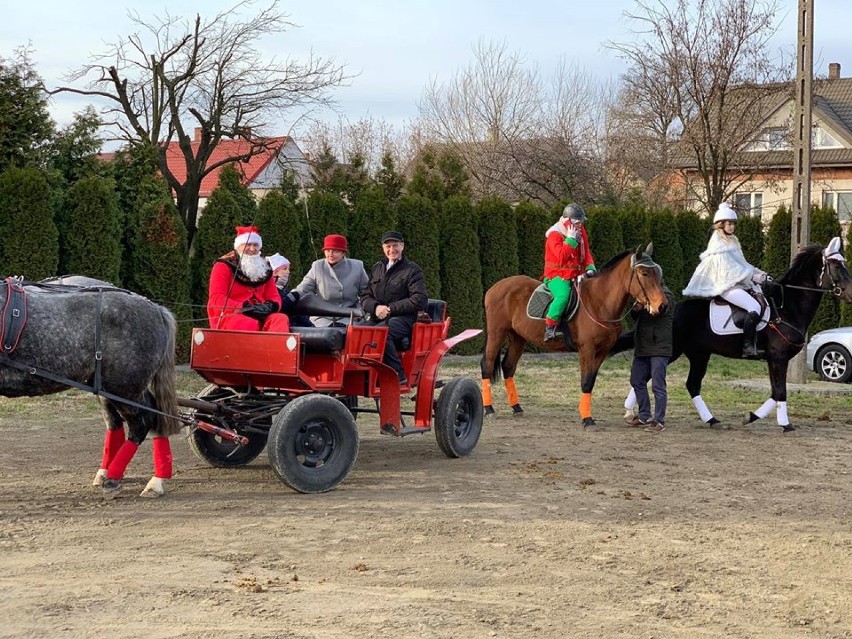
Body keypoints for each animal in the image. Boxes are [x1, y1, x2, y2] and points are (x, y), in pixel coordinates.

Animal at [2, 278, 180, 498]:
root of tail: (156, 309)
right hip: (111, 387)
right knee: (125, 422)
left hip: (125, 388)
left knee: (144, 422)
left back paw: (126, 479)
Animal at [482, 245, 668, 430]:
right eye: (644, 273)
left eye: (658, 272)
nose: (662, 305)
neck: (599, 302)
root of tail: (496, 286)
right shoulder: (586, 349)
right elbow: (585, 381)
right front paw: (587, 419)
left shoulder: (602, 351)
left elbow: (590, 381)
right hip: (497, 332)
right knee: (487, 365)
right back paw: (489, 409)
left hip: (518, 337)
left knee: (508, 367)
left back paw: (516, 407)